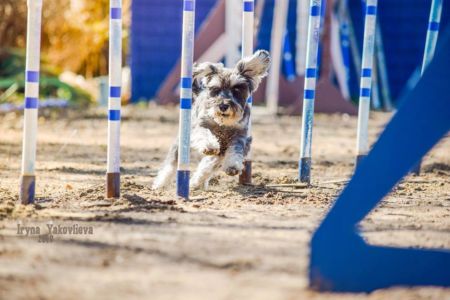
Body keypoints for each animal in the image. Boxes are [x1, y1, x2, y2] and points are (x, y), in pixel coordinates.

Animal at [153, 49, 270, 190]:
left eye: (236, 89)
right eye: (216, 89)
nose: (223, 106)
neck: (223, 125)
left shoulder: (239, 136)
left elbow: (235, 151)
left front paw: (233, 166)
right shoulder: (201, 126)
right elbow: (205, 135)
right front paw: (209, 145)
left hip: (221, 151)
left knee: (208, 165)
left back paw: (197, 182)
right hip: (182, 142)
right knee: (172, 163)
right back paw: (161, 183)